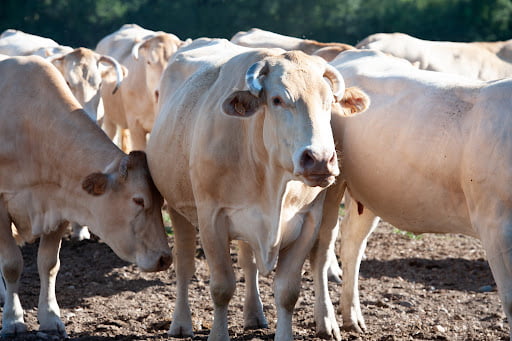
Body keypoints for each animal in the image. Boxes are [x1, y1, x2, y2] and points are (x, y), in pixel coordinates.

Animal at [0, 54, 172, 336]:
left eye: (161, 200)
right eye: (138, 200)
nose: (165, 258)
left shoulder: (59, 204)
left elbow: (49, 264)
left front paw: (50, 318)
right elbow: (11, 264)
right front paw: (13, 321)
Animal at [146, 37, 366, 340]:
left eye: (329, 101)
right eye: (277, 100)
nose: (320, 159)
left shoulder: (308, 220)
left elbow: (287, 291)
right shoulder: (211, 218)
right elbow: (222, 287)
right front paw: (218, 335)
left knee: (263, 263)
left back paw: (263, 315)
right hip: (178, 208)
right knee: (184, 265)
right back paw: (180, 323)